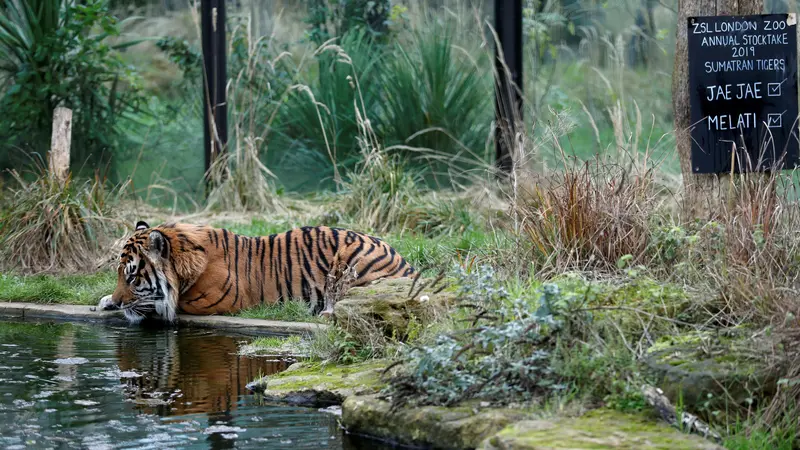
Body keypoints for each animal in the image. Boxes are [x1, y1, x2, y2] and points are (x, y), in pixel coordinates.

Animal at [97, 221, 416, 324]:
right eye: (119, 274)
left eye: (133, 277)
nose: (120, 301)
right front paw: (105, 300)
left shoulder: (214, 302)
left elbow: (161, 303)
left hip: (350, 259)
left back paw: (327, 313)